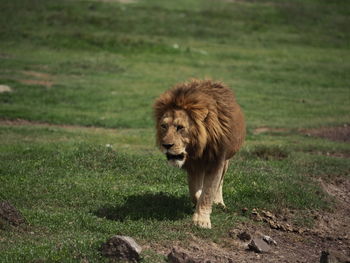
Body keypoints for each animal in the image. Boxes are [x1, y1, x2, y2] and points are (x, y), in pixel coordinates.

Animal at [153, 80, 246, 229]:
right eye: (163, 126)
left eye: (180, 127)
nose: (166, 146)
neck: (197, 147)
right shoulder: (193, 166)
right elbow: (195, 192)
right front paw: (198, 205)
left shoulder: (216, 162)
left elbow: (208, 193)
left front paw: (201, 220)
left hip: (226, 160)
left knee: (221, 181)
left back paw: (219, 202)